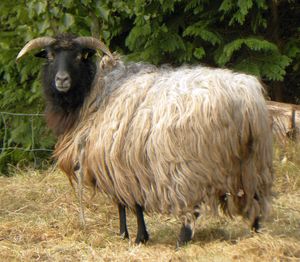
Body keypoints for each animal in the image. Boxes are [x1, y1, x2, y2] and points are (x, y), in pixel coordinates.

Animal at [17, 34, 274, 246]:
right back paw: (255, 232)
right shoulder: (124, 163)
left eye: (80, 56)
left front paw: (136, 237)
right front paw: (128, 235)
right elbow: (126, 203)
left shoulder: (117, 162)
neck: (95, 92)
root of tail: (243, 98)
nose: (62, 80)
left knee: (193, 208)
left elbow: (129, 204)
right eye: (50, 56)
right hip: (251, 160)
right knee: (255, 197)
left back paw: (182, 240)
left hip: (191, 165)